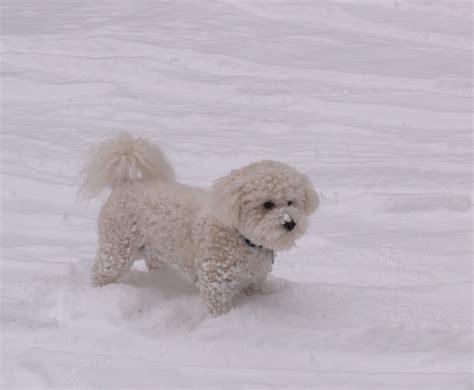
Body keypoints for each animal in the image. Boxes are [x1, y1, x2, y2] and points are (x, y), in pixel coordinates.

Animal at [80, 134, 318, 316]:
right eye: (267, 204)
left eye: (291, 202)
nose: (290, 223)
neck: (241, 237)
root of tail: (125, 184)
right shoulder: (216, 282)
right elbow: (218, 308)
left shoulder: (255, 280)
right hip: (117, 247)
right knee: (102, 271)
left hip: (155, 250)